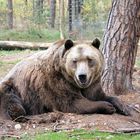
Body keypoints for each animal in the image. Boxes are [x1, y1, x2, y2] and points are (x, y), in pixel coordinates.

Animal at [0, 38, 130, 120]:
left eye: (89, 59)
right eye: (75, 61)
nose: (82, 76)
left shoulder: (93, 82)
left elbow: (97, 95)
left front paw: (123, 107)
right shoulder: (55, 82)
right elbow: (72, 102)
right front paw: (107, 106)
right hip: (13, 87)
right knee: (13, 103)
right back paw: (18, 113)